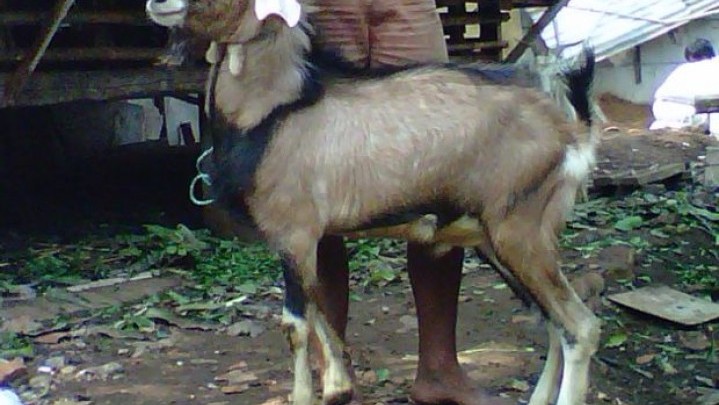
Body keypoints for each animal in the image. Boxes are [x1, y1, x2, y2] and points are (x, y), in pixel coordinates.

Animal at [146, 1, 600, 402]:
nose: (158, 3)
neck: (278, 110)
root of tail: (571, 129)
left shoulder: (294, 233)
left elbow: (295, 324)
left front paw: (308, 395)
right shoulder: (306, 241)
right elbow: (319, 310)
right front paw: (338, 387)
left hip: (520, 233)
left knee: (581, 326)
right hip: (497, 240)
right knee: (553, 323)